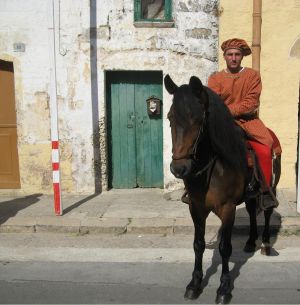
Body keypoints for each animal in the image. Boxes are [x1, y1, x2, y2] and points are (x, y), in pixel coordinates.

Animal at [164, 74, 282, 304]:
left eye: (197, 119)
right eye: (170, 117)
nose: (179, 168)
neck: (215, 164)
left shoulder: (227, 209)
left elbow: (225, 249)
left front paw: (224, 288)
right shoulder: (196, 208)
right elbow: (198, 244)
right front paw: (195, 283)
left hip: (271, 186)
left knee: (267, 211)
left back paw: (264, 243)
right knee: (252, 210)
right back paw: (250, 241)